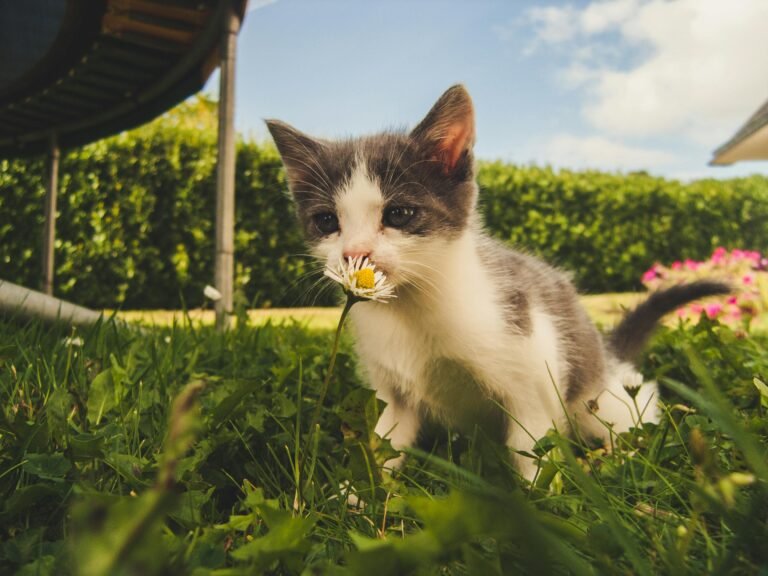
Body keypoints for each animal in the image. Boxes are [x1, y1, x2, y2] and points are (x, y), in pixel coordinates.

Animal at [268, 84, 728, 482]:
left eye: (398, 214)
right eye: (327, 221)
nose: (355, 253)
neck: (413, 308)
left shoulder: (533, 369)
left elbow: (531, 448)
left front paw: (543, 504)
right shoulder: (393, 391)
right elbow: (386, 442)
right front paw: (358, 496)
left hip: (599, 397)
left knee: (633, 407)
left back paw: (620, 456)